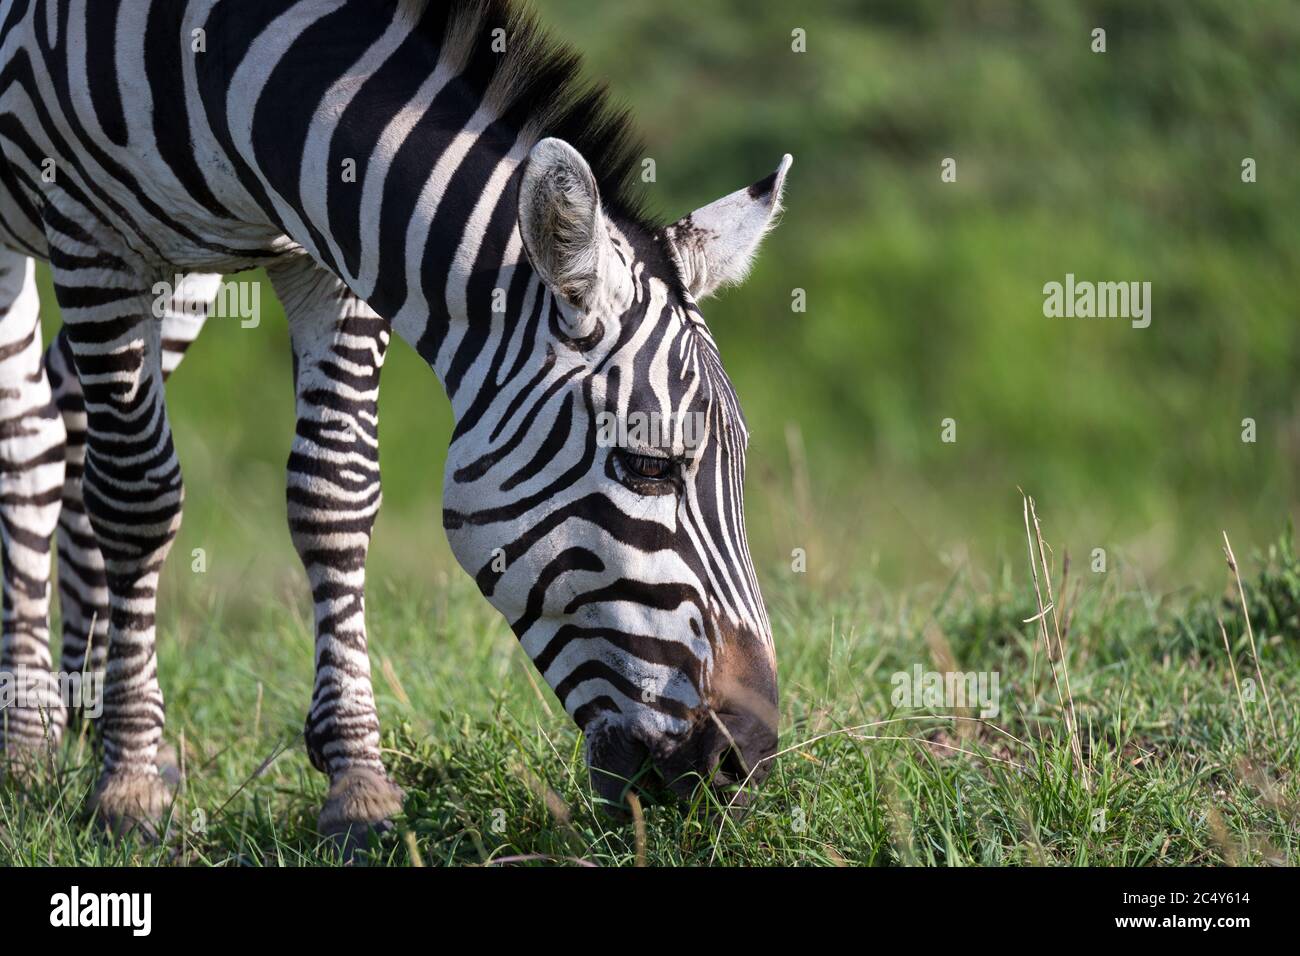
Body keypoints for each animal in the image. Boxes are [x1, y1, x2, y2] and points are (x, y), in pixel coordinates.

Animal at [0, 0, 790, 842]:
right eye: (647, 466)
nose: (747, 762)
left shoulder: (329, 254)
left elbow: (333, 498)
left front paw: (357, 781)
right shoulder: (90, 234)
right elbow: (138, 499)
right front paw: (130, 786)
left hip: (182, 272)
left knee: (59, 425)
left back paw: (77, 708)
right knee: (33, 441)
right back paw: (27, 739)